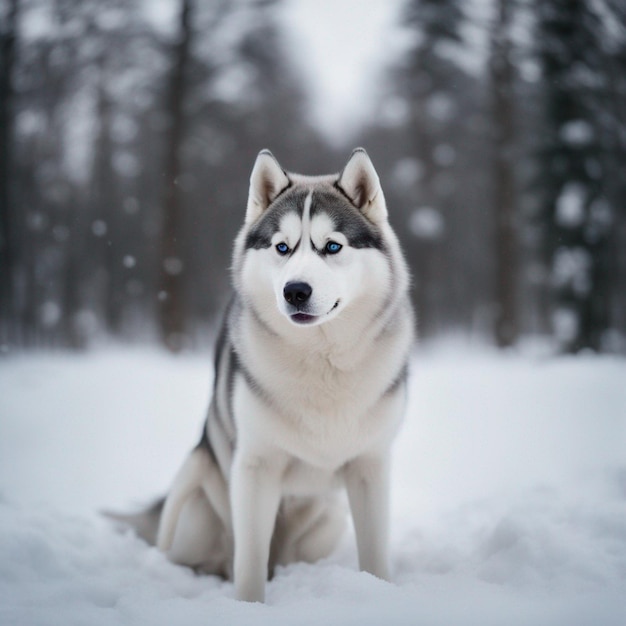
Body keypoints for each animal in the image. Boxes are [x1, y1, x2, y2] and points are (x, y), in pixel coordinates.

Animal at [116, 147, 412, 600]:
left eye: (332, 246)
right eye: (282, 247)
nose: (296, 291)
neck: (320, 360)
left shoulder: (370, 466)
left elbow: (375, 554)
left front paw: (381, 593)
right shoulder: (256, 467)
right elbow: (250, 561)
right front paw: (250, 604)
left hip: (328, 519)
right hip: (194, 494)